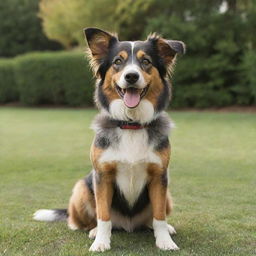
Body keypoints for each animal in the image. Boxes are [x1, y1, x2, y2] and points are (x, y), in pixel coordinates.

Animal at [33, 27, 185, 252]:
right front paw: (100, 242)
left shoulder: (160, 177)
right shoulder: (102, 176)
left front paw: (165, 241)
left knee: (152, 219)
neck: (131, 124)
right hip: (82, 188)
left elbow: (159, 217)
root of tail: (128, 225)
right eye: (118, 62)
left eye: (146, 61)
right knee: (81, 221)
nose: (131, 76)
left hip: (167, 195)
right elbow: (103, 215)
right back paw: (93, 230)